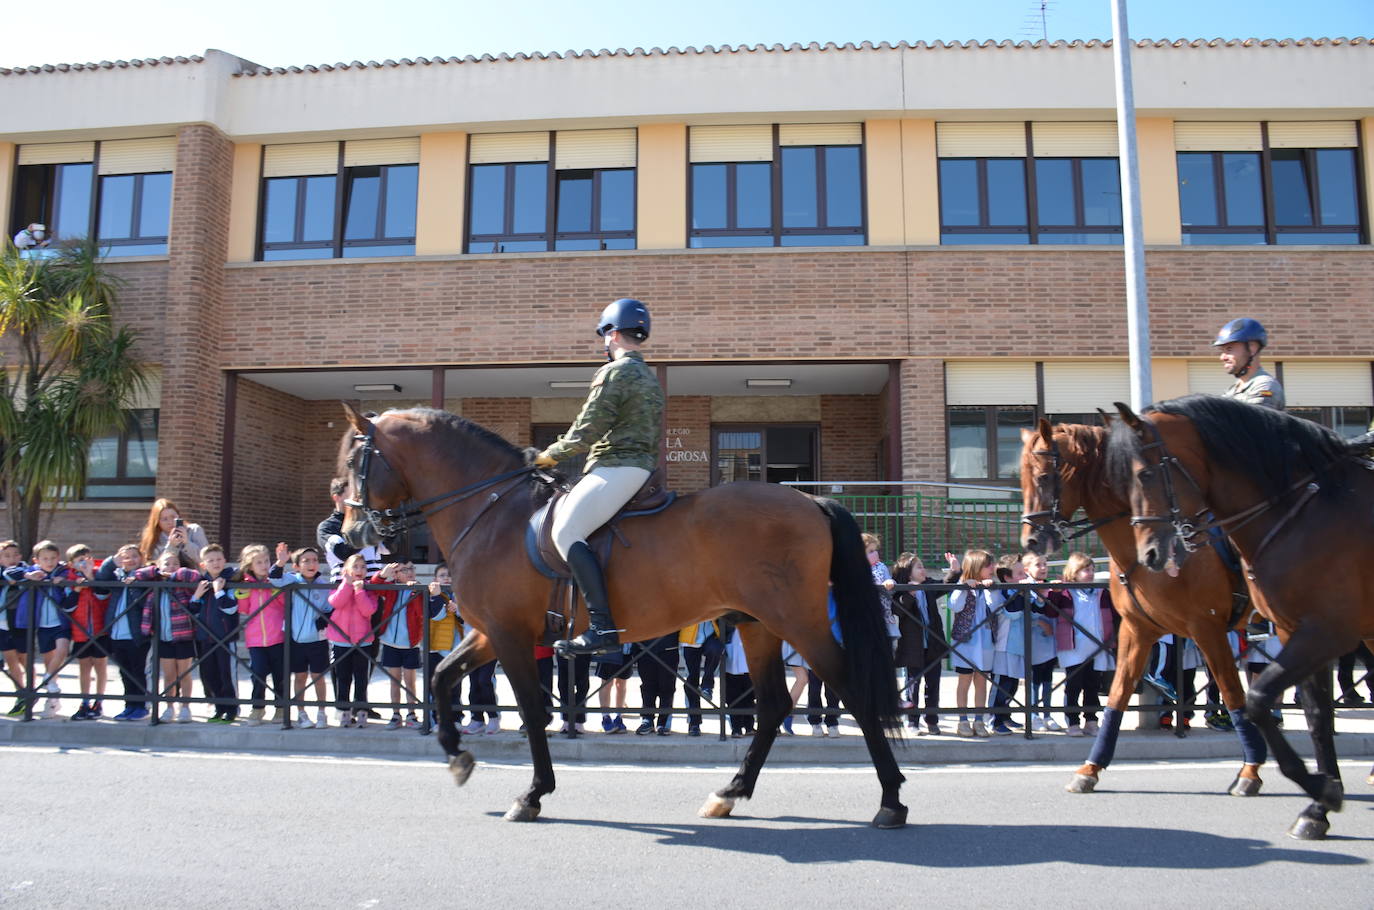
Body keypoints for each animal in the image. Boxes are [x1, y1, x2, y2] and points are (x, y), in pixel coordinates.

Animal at [336, 404, 906, 830]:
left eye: (353, 462)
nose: (352, 534)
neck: (492, 511)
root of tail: (811, 501)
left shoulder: (509, 634)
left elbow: (533, 712)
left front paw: (533, 794)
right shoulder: (490, 633)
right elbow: (440, 674)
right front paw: (457, 756)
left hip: (798, 622)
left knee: (850, 692)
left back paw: (891, 801)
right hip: (756, 624)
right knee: (770, 707)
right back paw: (729, 791)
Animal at [1022, 420, 1264, 797]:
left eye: (1045, 476)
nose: (1030, 541)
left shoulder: (1207, 629)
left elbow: (1232, 690)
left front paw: (1250, 770)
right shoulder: (1138, 629)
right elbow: (1117, 694)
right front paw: (1090, 769)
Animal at [1104, 395, 1374, 846]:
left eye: (1144, 474)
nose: (1152, 555)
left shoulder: (1325, 632)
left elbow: (1257, 698)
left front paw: (1317, 788)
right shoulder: (1295, 629)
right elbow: (1316, 716)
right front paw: (1320, 802)